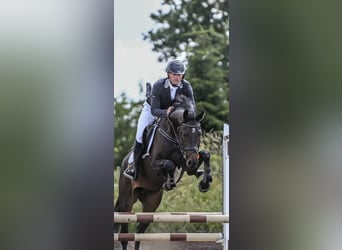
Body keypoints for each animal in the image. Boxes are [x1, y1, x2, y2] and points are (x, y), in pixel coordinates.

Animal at [113, 94, 212, 250]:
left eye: (199, 134)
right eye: (184, 133)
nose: (193, 162)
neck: (174, 136)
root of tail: (124, 163)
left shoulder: (187, 164)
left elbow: (205, 154)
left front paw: (204, 183)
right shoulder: (155, 163)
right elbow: (169, 164)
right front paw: (169, 183)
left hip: (151, 203)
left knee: (139, 232)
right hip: (126, 202)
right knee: (124, 235)